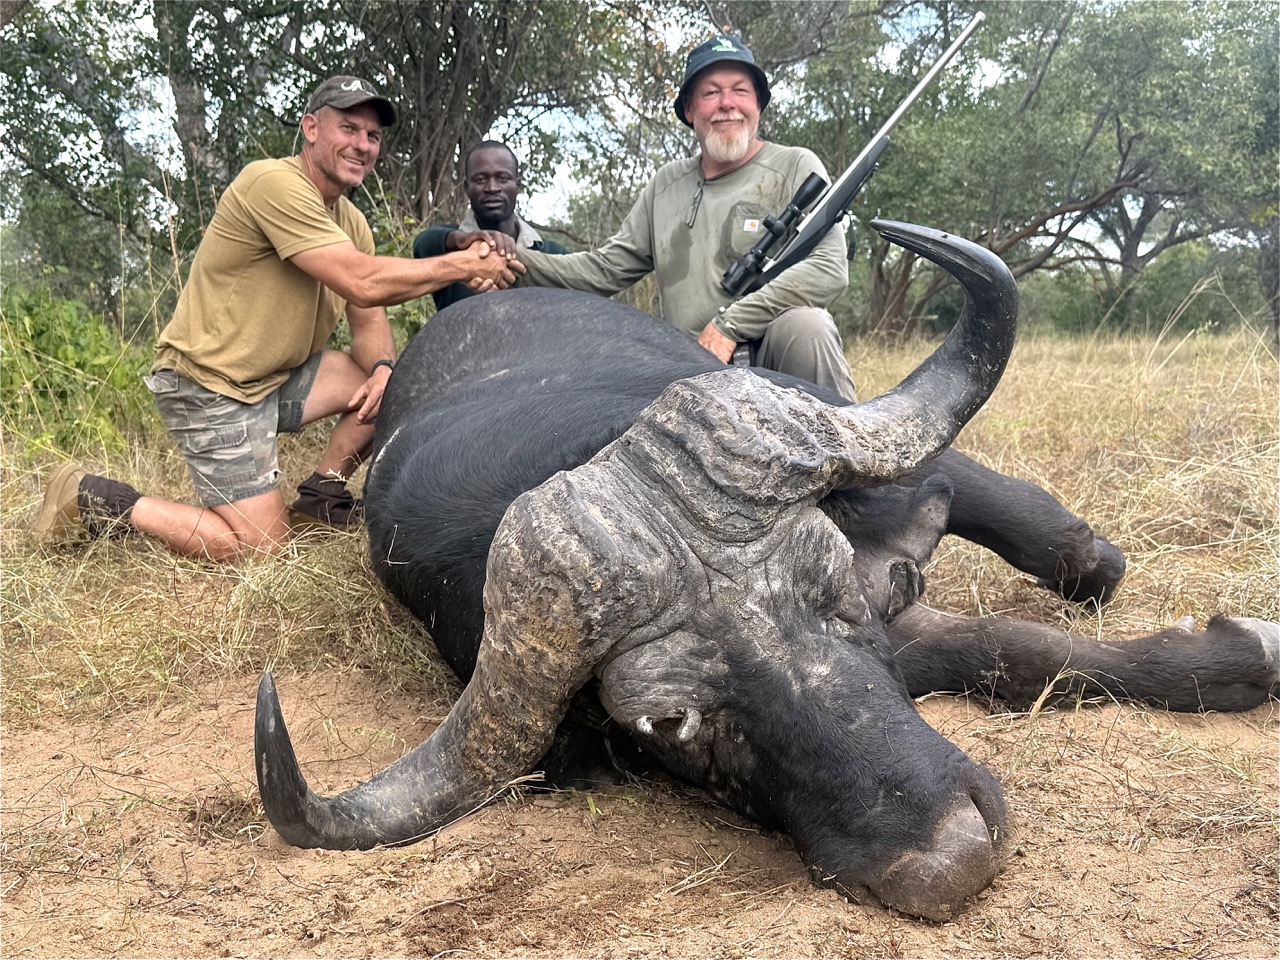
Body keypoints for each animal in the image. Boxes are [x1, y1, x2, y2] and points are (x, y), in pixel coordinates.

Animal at [255, 220, 1277, 922]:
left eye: (832, 592)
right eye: (671, 724)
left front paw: (1234, 649)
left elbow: (1044, 597)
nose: (950, 856)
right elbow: (1006, 651)